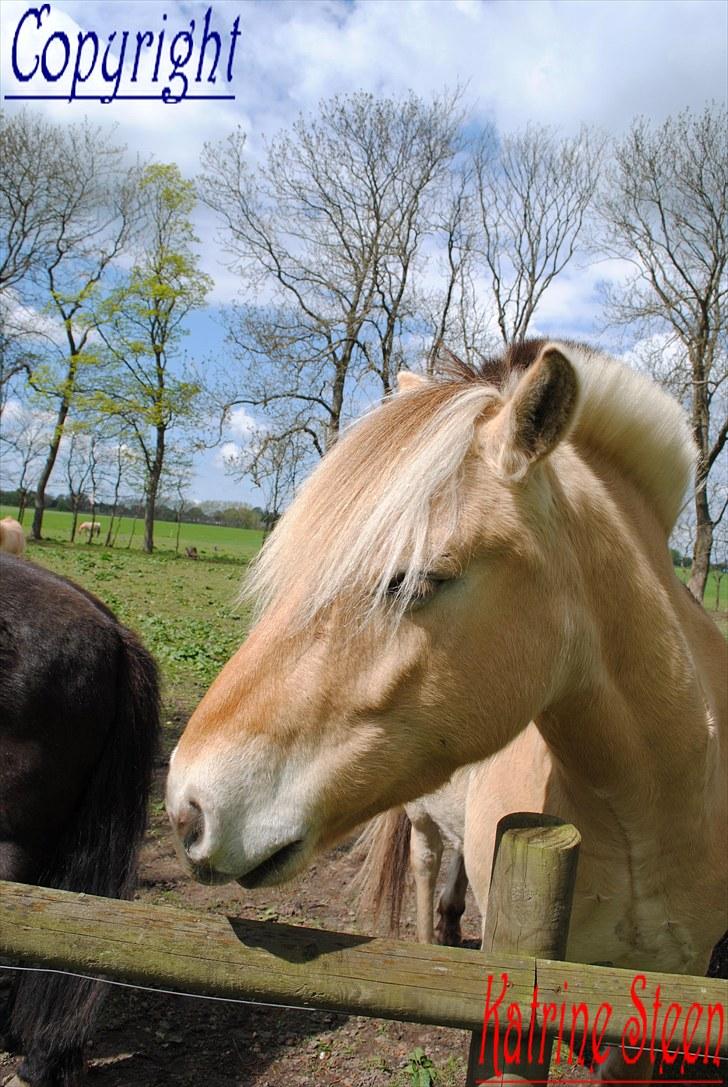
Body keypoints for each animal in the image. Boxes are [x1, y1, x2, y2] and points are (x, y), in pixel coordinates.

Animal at [168, 343, 725, 995]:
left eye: (416, 580)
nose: (186, 810)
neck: (648, 805)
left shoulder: (683, 970)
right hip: (420, 819)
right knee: (427, 864)